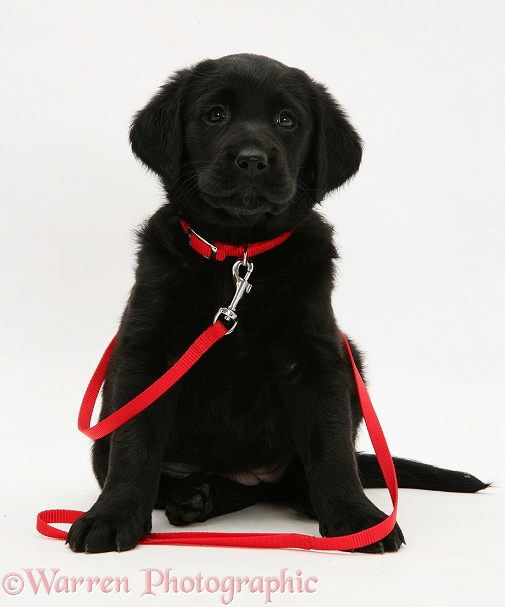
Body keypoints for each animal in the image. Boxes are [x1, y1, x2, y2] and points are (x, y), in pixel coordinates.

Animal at [66, 54, 484, 552]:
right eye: (215, 115)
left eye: (287, 121)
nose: (252, 160)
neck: (240, 257)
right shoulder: (147, 355)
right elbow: (134, 443)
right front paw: (112, 516)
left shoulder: (317, 356)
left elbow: (331, 445)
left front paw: (356, 517)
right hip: (106, 439)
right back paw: (195, 495)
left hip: (351, 361)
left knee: (293, 478)